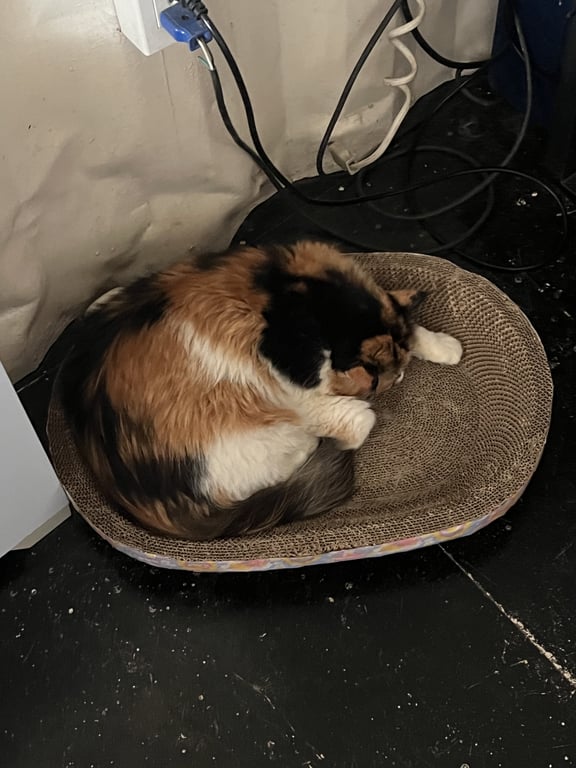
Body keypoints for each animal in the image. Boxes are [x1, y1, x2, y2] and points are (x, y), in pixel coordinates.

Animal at [59, 241, 462, 541]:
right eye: (374, 379)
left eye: (394, 373)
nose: (393, 382)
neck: (288, 292)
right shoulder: (293, 386)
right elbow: (345, 413)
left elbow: (411, 329)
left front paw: (446, 346)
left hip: (105, 300)